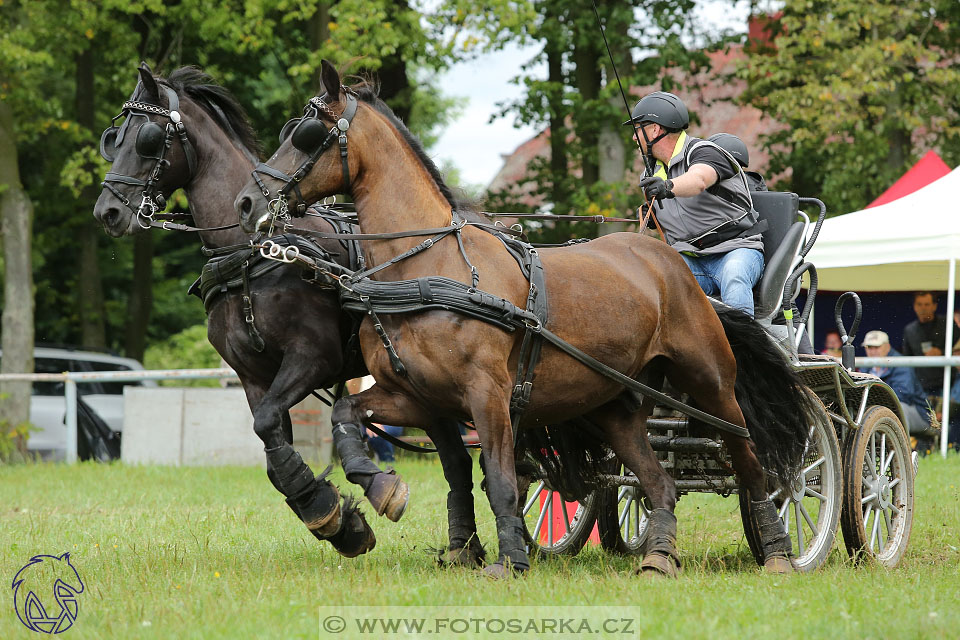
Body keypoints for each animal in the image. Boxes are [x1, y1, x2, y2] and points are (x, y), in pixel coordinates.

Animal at [92, 65, 488, 564]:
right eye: (113, 138)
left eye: (146, 137)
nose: (106, 212)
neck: (251, 254)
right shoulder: (253, 377)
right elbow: (270, 445)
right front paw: (338, 521)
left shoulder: (313, 359)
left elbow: (268, 427)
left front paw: (330, 511)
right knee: (455, 458)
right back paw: (464, 549)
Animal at [236, 61, 812, 580]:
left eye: (307, 133)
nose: (246, 202)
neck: (427, 266)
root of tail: (669, 259)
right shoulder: (417, 396)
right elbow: (346, 416)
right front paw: (382, 490)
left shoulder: (487, 393)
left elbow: (500, 477)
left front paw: (510, 559)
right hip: (616, 404)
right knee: (658, 482)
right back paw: (659, 558)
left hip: (711, 382)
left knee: (750, 460)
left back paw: (779, 551)